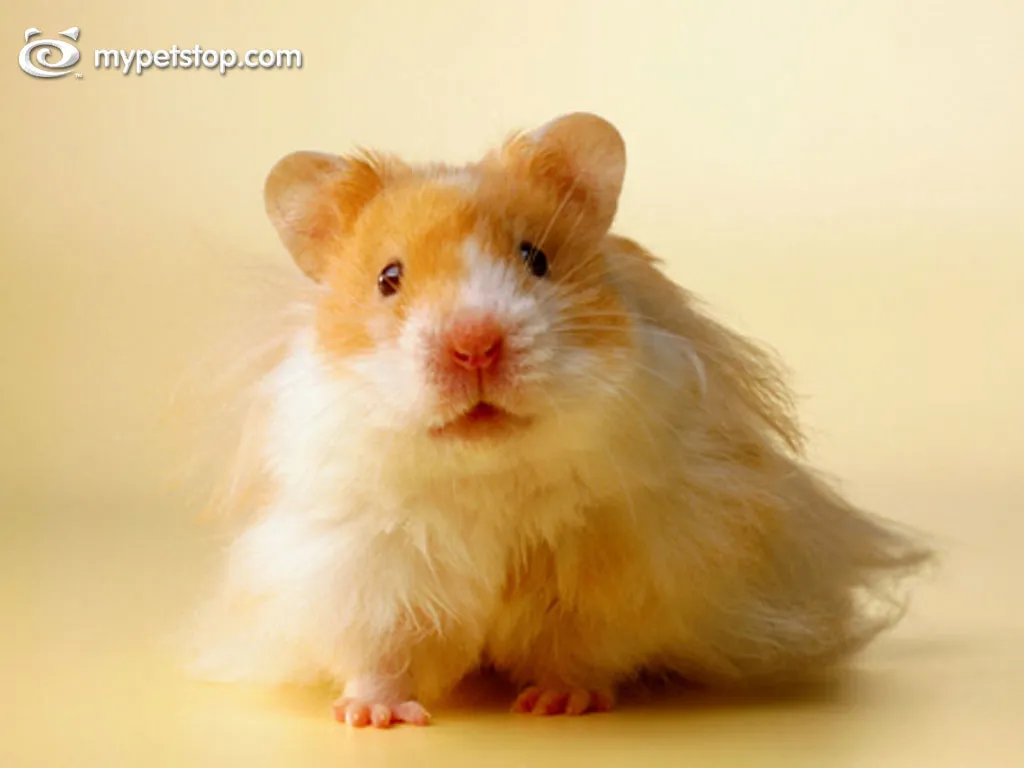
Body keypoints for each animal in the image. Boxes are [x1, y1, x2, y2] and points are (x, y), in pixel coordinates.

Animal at [186, 113, 933, 728]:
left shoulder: (625, 564)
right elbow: (379, 650)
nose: (475, 343)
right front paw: (371, 717)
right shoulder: (362, 563)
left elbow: (581, 648)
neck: (487, 469)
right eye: (388, 279)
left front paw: (558, 704)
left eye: (536, 259)